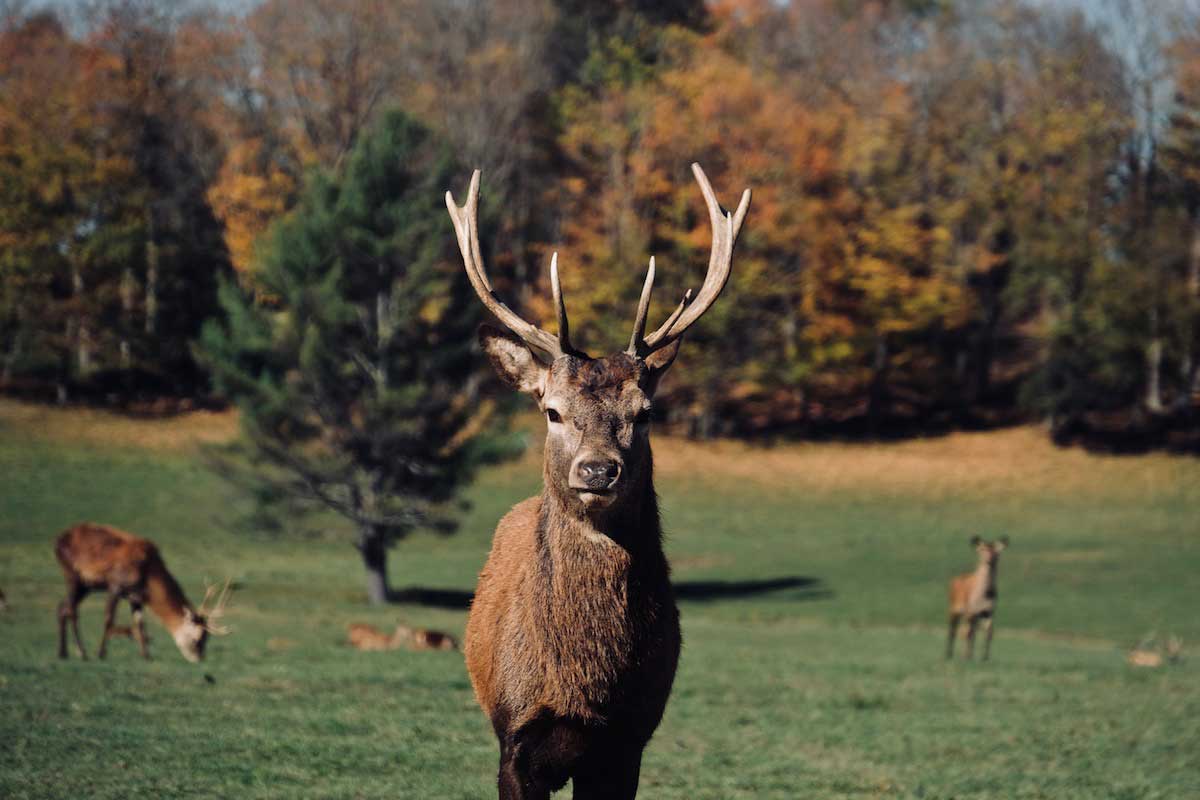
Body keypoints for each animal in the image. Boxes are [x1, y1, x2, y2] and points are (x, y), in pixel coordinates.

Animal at [52, 522, 229, 662]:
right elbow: (109, 618)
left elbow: (139, 622)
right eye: (197, 638)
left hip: (86, 585)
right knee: (72, 610)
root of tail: (58, 540)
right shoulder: (116, 584)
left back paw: (62, 652)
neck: (148, 575)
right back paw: (82, 652)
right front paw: (101, 653)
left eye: (207, 638)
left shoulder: (135, 596)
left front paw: (146, 655)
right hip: (71, 573)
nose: (199, 658)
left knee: (62, 606)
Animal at [448, 164, 748, 800]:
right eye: (552, 411)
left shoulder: (627, 743)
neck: (583, 688)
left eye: (645, 412)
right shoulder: (515, 736)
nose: (597, 469)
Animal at [940, 534, 1008, 662]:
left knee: (970, 631)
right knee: (954, 630)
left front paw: (985, 658)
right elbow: (967, 633)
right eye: (982, 550)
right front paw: (966, 656)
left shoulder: (989, 611)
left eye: (997, 552)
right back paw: (949, 654)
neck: (985, 594)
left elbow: (989, 632)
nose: (989, 560)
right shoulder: (970, 610)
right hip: (953, 608)